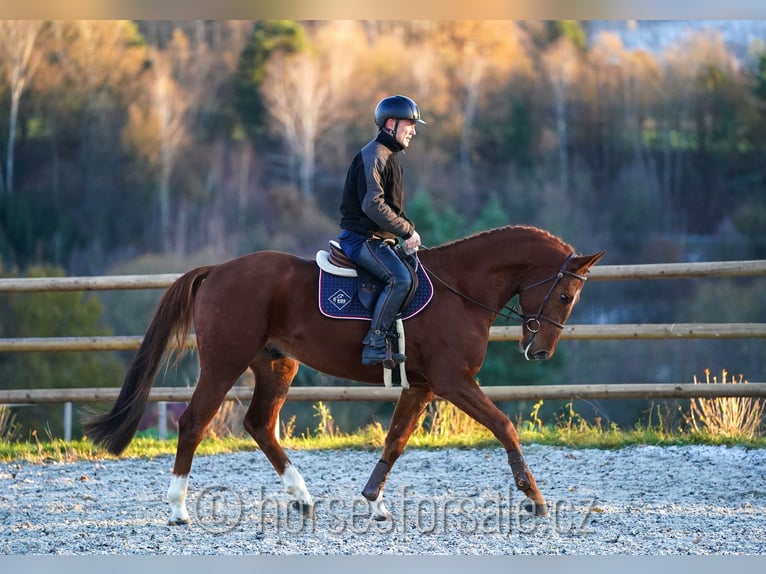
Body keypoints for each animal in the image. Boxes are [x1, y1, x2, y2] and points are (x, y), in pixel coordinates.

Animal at [84, 225, 608, 528]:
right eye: (566, 296)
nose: (539, 351)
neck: (461, 288)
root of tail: (218, 270)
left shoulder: (422, 385)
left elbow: (395, 441)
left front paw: (374, 502)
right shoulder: (453, 381)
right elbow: (504, 426)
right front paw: (534, 498)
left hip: (276, 364)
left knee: (259, 424)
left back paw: (302, 498)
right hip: (223, 363)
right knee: (194, 421)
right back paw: (179, 508)